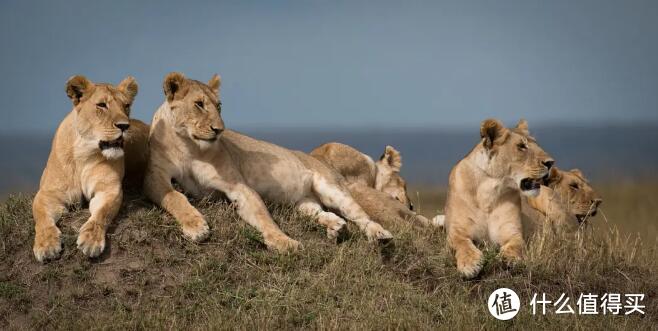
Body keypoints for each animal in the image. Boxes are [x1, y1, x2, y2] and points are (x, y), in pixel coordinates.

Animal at [32, 75, 148, 262]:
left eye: (126, 106)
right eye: (102, 105)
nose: (124, 126)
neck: (83, 152)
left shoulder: (109, 190)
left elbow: (101, 214)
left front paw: (91, 240)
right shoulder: (47, 193)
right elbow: (41, 218)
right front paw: (47, 245)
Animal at [142, 73, 390, 252]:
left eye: (219, 106)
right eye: (199, 104)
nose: (219, 130)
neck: (189, 146)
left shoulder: (238, 187)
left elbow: (263, 217)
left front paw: (283, 242)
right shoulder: (154, 176)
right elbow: (175, 197)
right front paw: (195, 226)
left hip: (331, 188)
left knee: (360, 215)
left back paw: (379, 234)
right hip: (304, 203)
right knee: (320, 212)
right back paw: (335, 227)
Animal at [440, 118, 552, 278]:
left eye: (537, 144)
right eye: (521, 146)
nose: (551, 163)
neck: (489, 191)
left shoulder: (513, 233)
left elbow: (516, 245)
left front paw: (508, 259)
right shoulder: (456, 231)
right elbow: (462, 244)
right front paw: (470, 264)